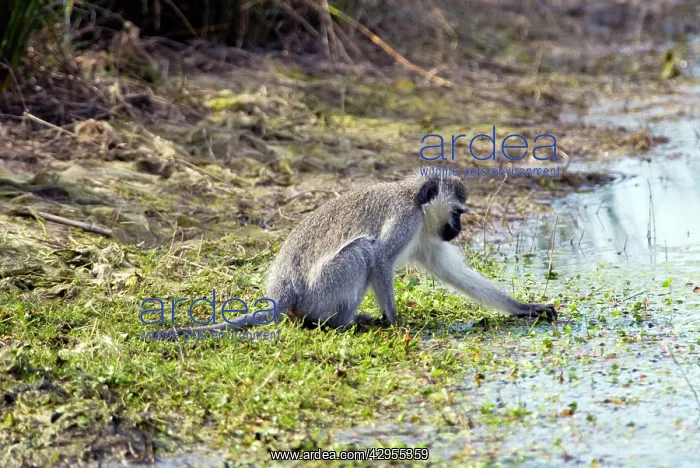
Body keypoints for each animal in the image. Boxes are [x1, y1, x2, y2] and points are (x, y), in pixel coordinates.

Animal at [157, 174, 556, 340]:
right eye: (458, 212)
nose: (457, 229)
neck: (414, 199)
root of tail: (282, 293)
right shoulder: (407, 219)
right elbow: (379, 259)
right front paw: (396, 323)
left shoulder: (425, 235)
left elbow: (454, 274)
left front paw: (526, 308)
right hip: (321, 292)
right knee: (362, 251)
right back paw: (344, 322)